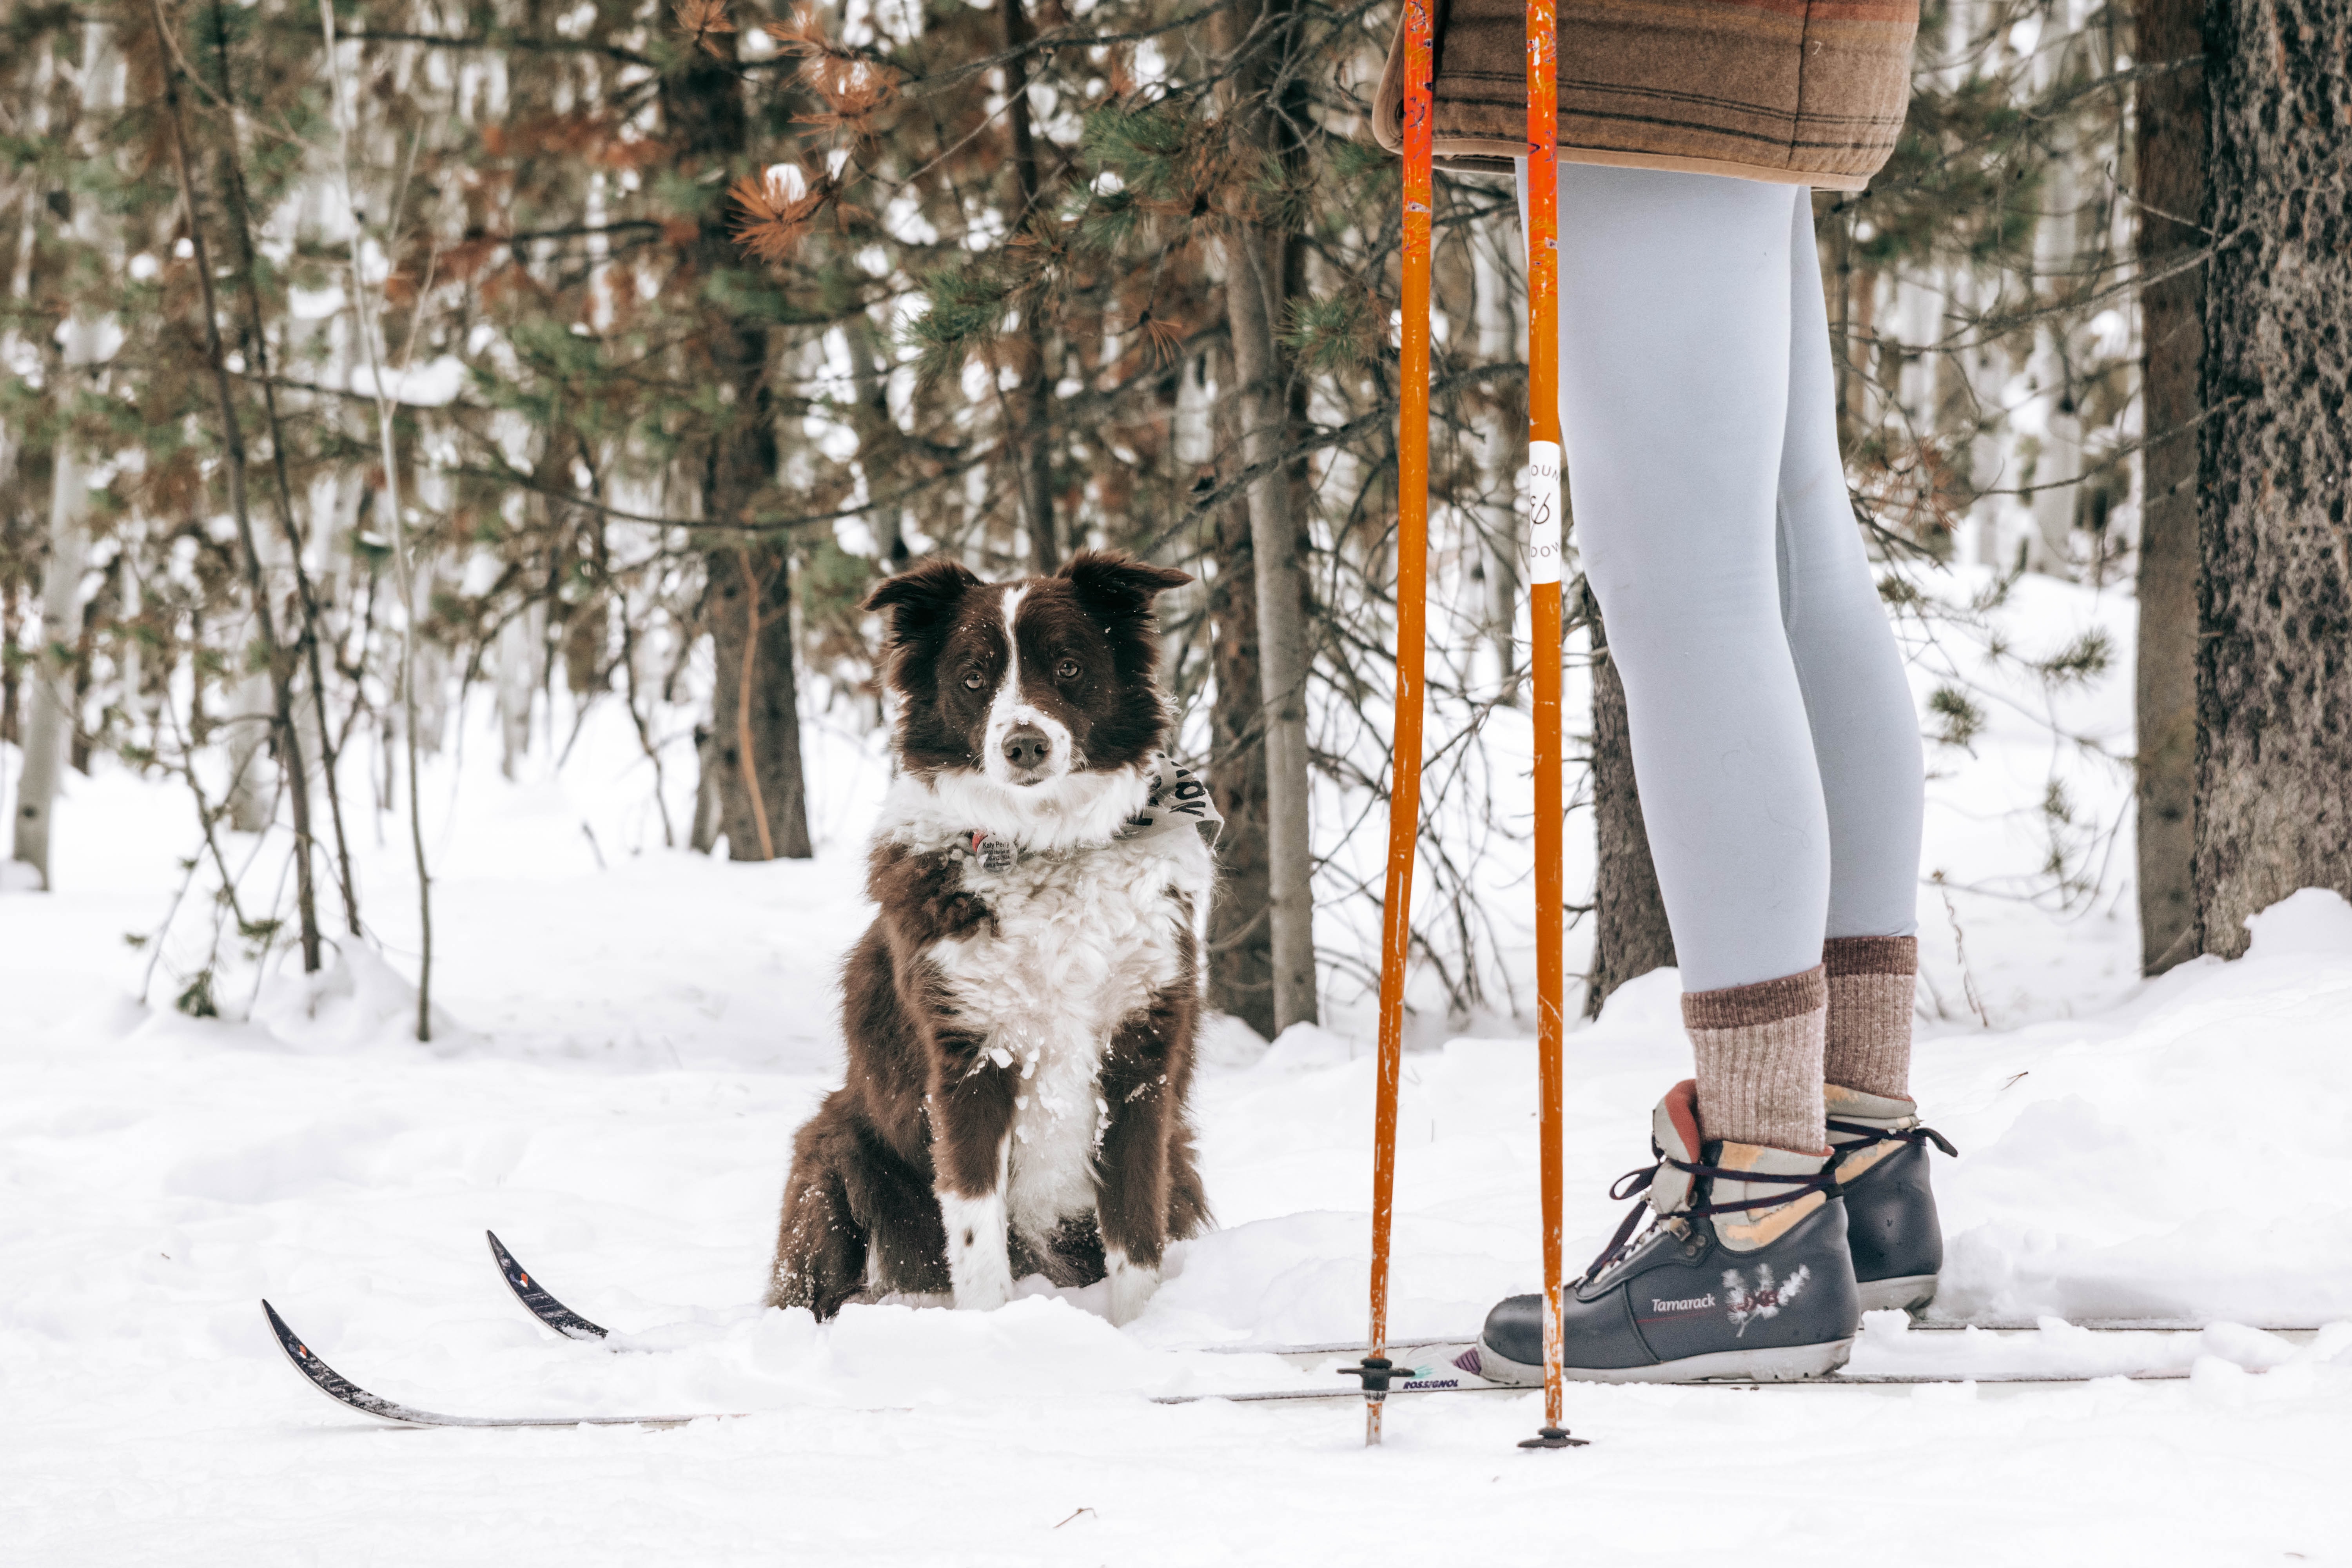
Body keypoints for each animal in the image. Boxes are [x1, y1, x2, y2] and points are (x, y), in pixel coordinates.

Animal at [767, 552, 1214, 1326]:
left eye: (1068, 666)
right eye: (974, 678)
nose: (1024, 744)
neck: (1048, 847)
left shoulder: (1141, 1058)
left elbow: (1135, 1232)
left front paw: (1138, 1331)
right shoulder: (970, 1058)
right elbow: (976, 1234)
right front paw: (991, 1332)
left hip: (1181, 1161)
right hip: (835, 1147)